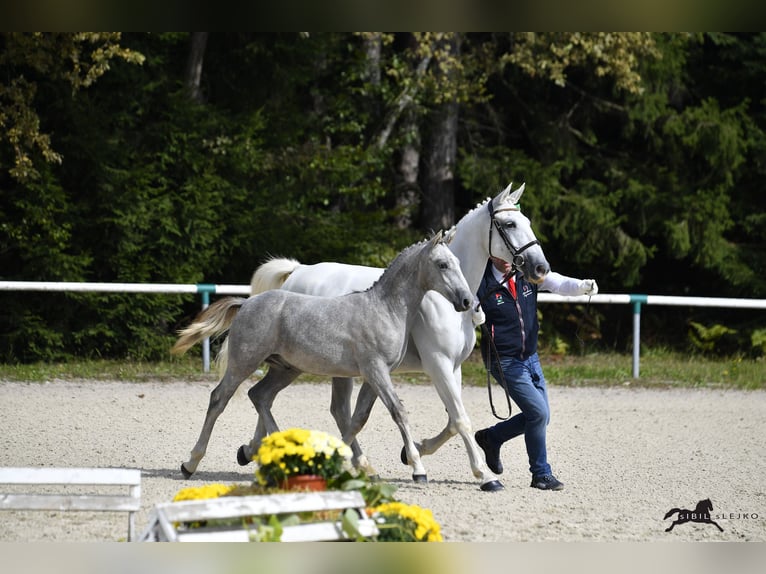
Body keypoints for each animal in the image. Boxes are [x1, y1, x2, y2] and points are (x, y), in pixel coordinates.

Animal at [174, 233, 474, 482]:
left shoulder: (374, 376)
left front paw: (344, 460)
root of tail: (246, 303)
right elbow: (397, 412)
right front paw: (417, 468)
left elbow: (358, 418)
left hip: (285, 369)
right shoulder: (375, 370)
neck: (385, 310)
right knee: (219, 399)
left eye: (459, 262)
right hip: (244, 363)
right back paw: (190, 463)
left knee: (259, 396)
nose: (467, 301)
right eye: (443, 264)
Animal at [243, 182, 548, 492]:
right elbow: (460, 419)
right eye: (509, 224)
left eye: (527, 222)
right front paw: (484, 476)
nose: (540, 268)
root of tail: (297, 271)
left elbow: (452, 420)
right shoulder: (438, 365)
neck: (440, 298)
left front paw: (417, 451)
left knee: (308, 405)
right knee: (310, 405)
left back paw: (257, 451)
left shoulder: (453, 368)